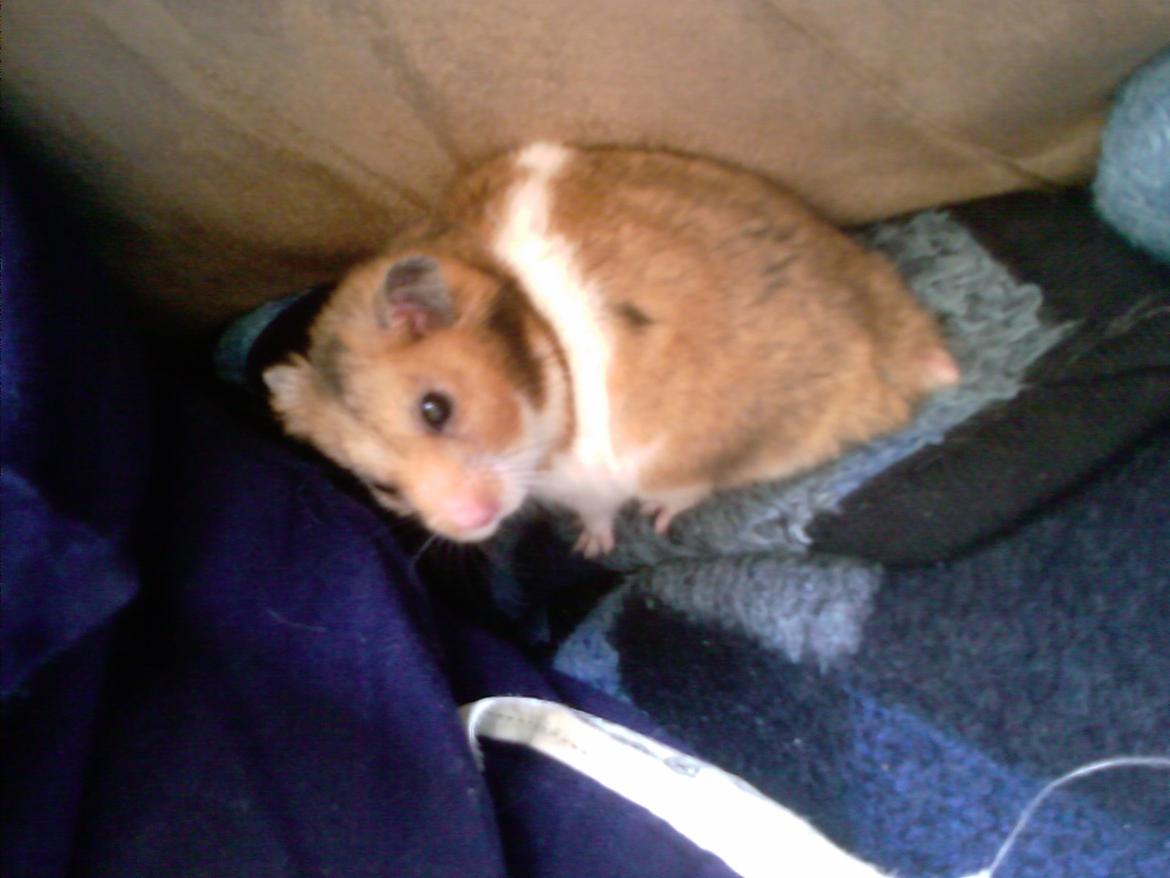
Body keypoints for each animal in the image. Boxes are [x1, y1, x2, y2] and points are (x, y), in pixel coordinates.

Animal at [264, 142, 959, 556]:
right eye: (379, 486)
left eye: (436, 408)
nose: (471, 523)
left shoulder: (590, 482)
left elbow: (598, 512)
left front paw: (590, 549)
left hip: (694, 454)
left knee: (692, 490)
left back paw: (656, 519)